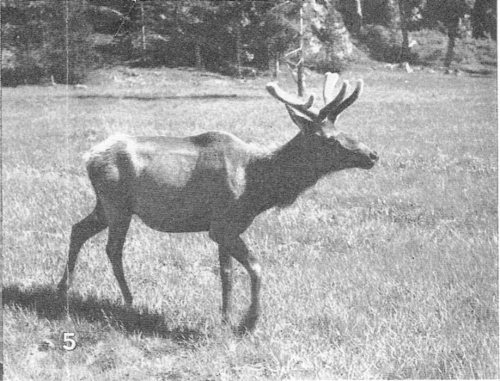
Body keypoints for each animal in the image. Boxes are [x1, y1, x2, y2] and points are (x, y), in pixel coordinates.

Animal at [57, 71, 378, 332]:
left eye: (344, 131)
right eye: (329, 139)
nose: (373, 154)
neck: (259, 186)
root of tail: (88, 157)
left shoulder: (226, 227)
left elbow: (227, 274)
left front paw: (225, 318)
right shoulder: (223, 224)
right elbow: (256, 267)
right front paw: (249, 322)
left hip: (104, 205)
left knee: (78, 229)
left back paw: (63, 290)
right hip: (117, 205)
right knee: (113, 249)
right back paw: (128, 301)